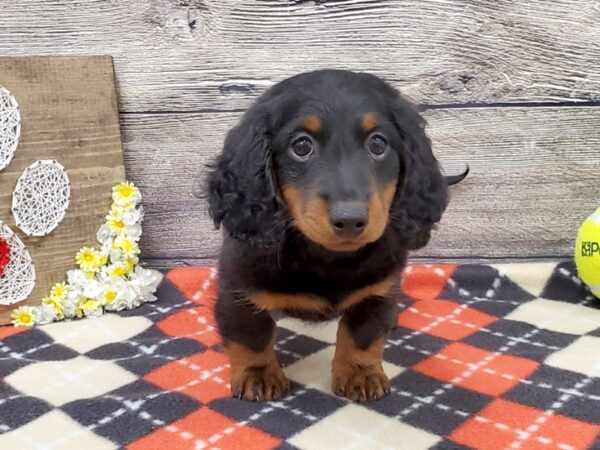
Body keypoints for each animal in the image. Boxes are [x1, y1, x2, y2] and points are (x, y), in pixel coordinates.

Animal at [209, 69, 466, 400]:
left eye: (378, 144)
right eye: (301, 146)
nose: (350, 220)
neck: (327, 257)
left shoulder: (378, 291)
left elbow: (362, 335)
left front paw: (360, 373)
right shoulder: (238, 290)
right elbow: (250, 335)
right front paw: (258, 374)